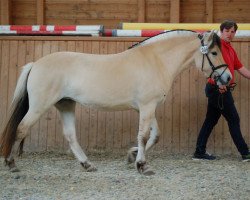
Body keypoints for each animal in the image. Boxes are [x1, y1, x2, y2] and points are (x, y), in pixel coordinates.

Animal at [0, 30, 230, 175]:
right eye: (214, 52)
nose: (227, 78)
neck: (156, 60)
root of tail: (35, 64)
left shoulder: (147, 108)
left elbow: (154, 136)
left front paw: (132, 156)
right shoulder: (147, 106)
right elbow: (143, 136)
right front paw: (142, 165)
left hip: (65, 104)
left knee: (70, 136)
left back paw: (87, 165)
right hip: (39, 107)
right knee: (21, 129)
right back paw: (11, 164)